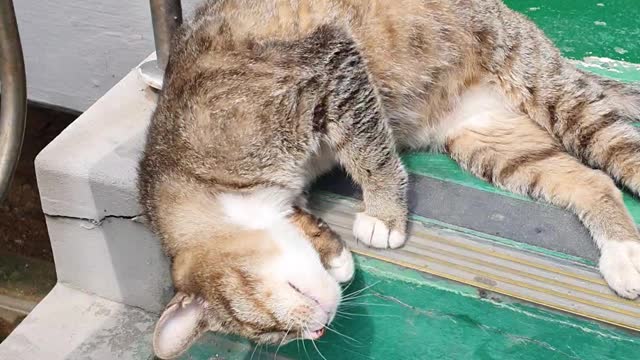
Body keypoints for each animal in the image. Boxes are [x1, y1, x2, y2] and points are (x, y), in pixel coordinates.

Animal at [139, 0, 640, 358]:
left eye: (267, 322)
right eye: (276, 335)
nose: (320, 328)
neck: (186, 172)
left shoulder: (331, 66)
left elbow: (368, 151)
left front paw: (383, 215)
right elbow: (305, 218)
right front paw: (336, 255)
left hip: (545, 83)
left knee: (621, 151)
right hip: (494, 145)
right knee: (591, 181)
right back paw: (623, 254)